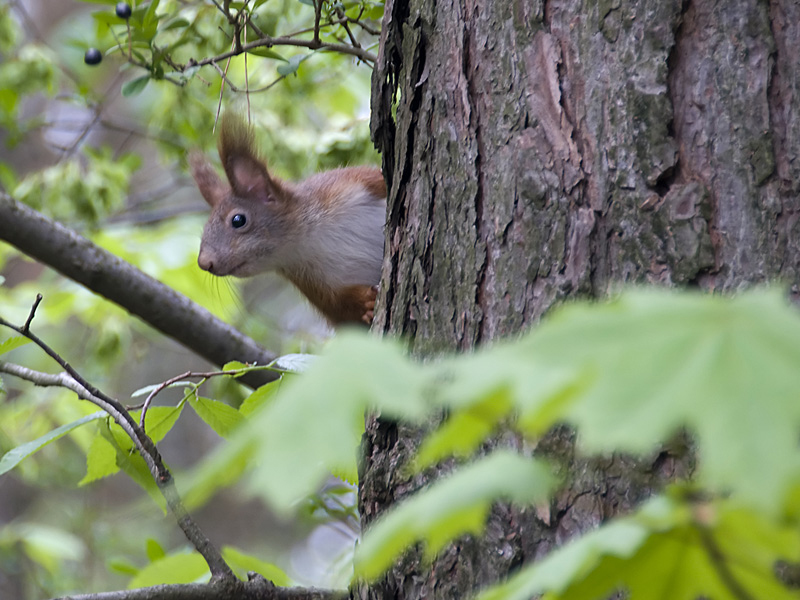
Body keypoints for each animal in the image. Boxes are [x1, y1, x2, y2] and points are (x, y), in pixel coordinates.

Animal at [189, 113, 386, 328]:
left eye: (238, 220)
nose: (204, 262)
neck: (309, 239)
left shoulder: (350, 184)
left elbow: (380, 181)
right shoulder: (313, 284)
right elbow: (341, 309)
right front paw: (366, 303)